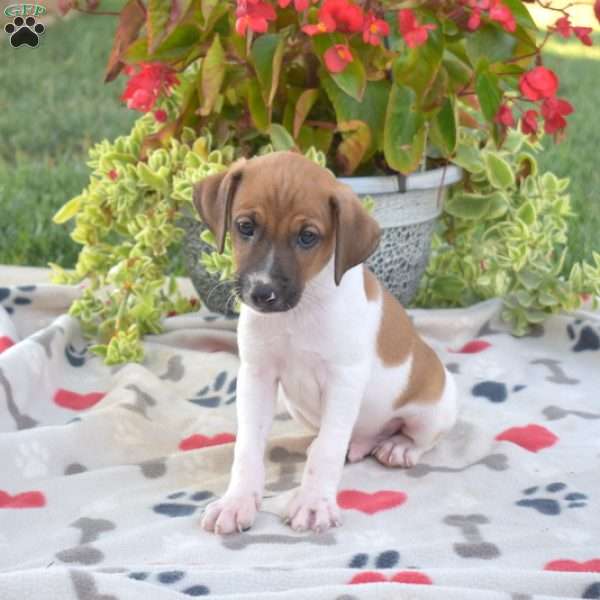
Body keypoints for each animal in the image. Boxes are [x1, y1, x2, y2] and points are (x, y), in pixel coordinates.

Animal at [195, 150, 458, 536]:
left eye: (307, 237)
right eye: (245, 226)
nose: (262, 292)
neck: (299, 313)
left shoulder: (342, 382)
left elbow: (328, 450)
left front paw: (314, 503)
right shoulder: (257, 376)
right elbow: (248, 446)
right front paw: (237, 501)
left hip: (432, 410)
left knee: (424, 439)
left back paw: (399, 446)